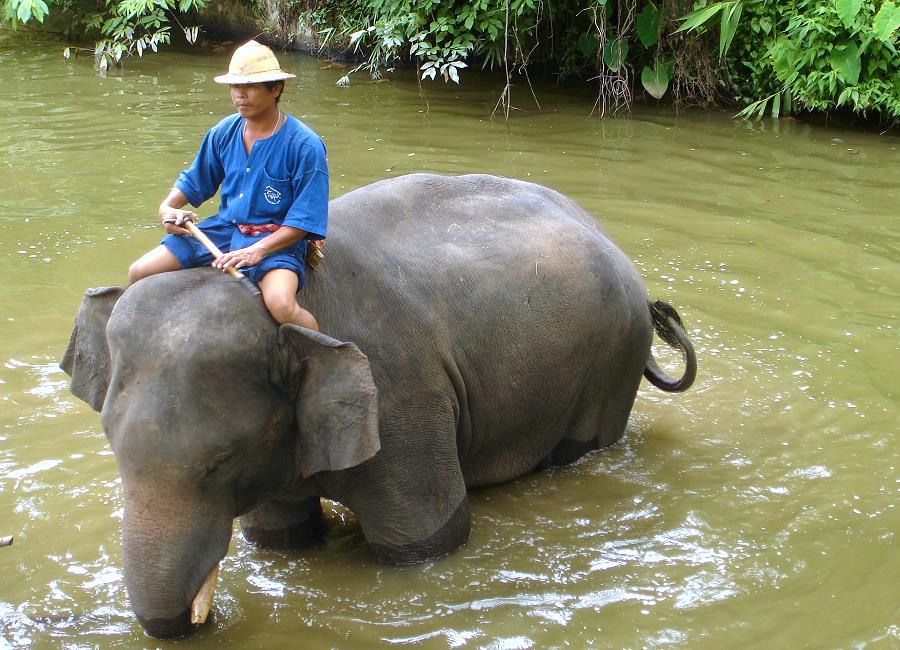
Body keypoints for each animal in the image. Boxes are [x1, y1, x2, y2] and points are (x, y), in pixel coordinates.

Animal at [61, 173, 696, 639]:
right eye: (112, 445)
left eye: (222, 460)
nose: (201, 622)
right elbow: (280, 537)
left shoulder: (401, 398)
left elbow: (429, 540)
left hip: (611, 362)